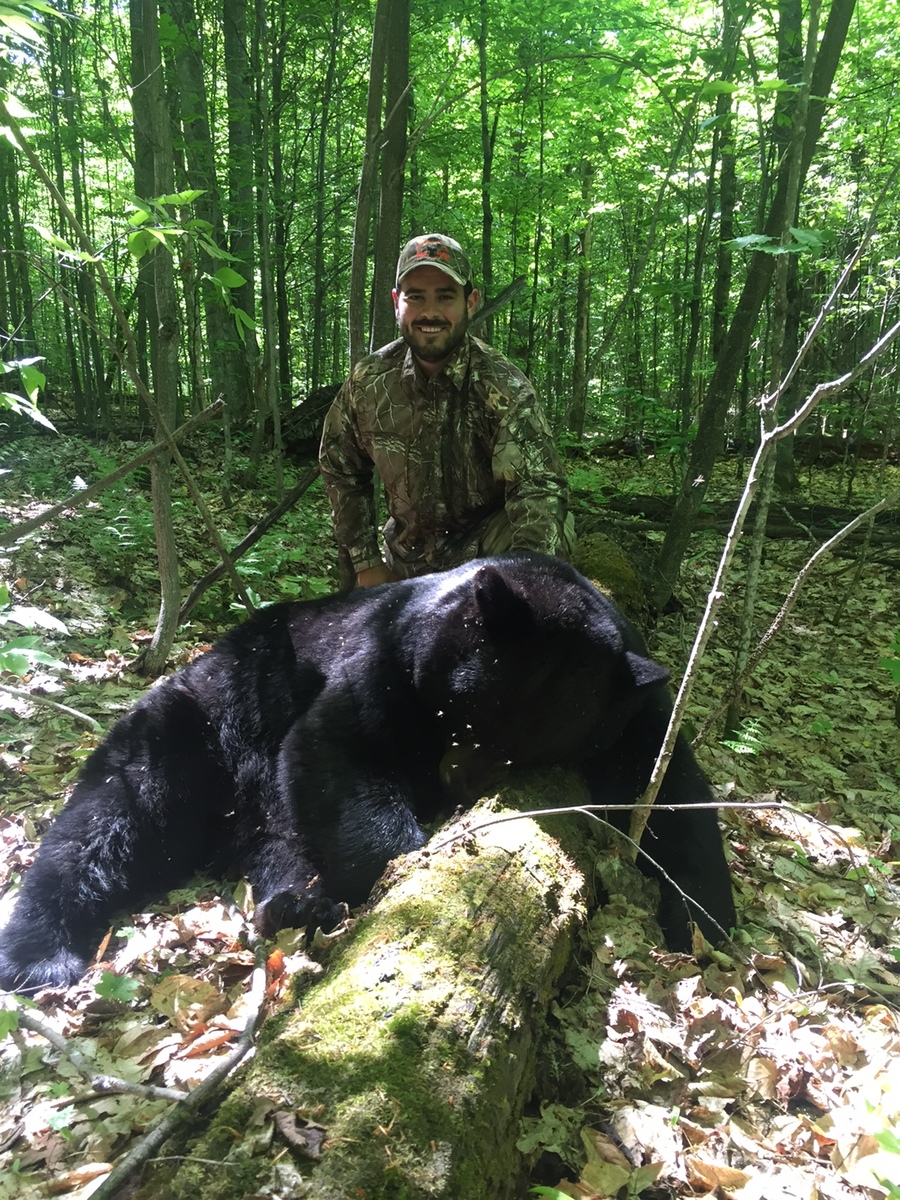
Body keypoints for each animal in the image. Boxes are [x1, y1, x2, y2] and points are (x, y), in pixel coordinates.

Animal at [0, 555, 735, 992]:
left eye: (527, 750)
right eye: (471, 712)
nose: (457, 783)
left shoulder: (634, 716)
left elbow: (673, 799)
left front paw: (704, 922)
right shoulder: (384, 658)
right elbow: (337, 753)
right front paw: (406, 868)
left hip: (256, 813)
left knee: (275, 847)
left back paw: (296, 904)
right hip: (195, 729)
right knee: (109, 822)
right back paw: (39, 954)